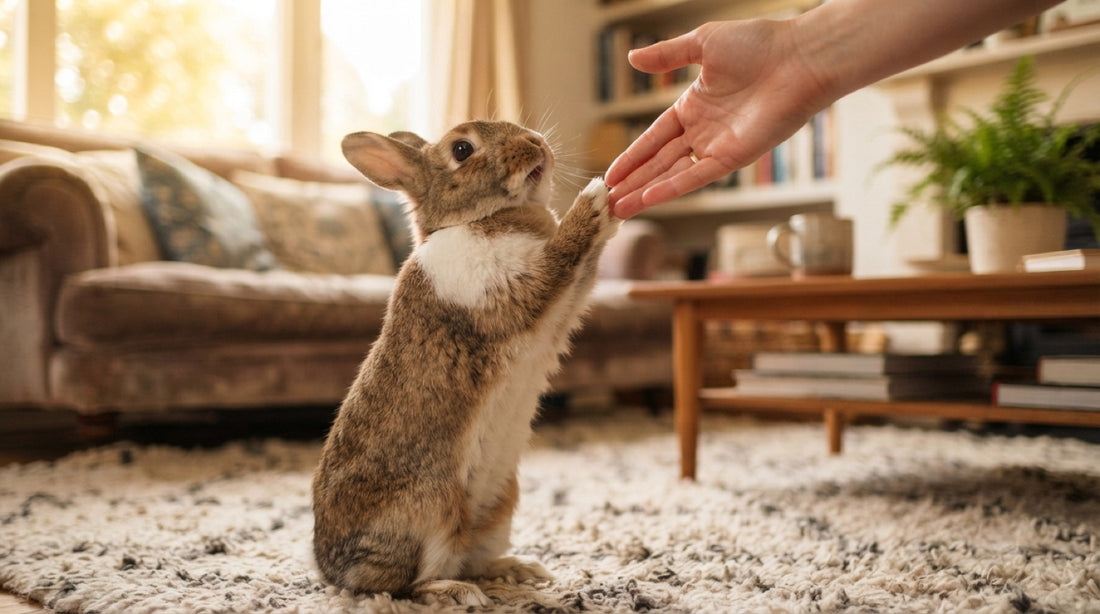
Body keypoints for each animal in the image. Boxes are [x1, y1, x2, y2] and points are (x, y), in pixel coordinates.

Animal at [311, 120, 619, 607]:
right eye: (462, 149)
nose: (535, 143)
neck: (476, 220)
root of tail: (332, 571)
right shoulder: (519, 290)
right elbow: (561, 257)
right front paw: (596, 195)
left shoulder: (564, 305)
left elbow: (582, 270)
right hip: (433, 507)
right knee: (405, 586)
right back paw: (458, 593)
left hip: (498, 507)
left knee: (473, 560)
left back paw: (521, 570)